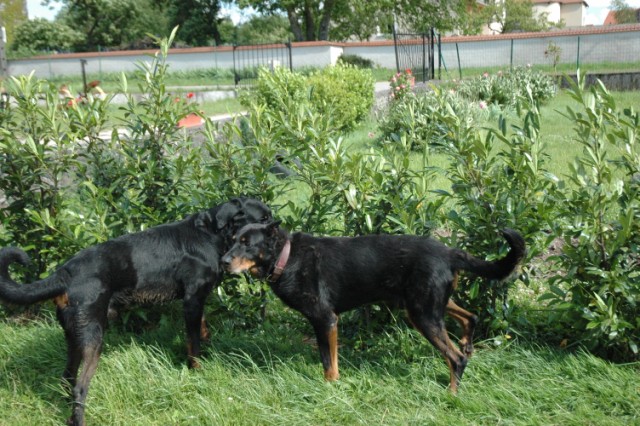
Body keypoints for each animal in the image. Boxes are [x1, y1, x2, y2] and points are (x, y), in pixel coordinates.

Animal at [0, 196, 272, 426]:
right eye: (263, 219)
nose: (277, 229)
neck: (211, 234)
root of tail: (64, 273)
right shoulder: (192, 299)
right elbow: (193, 344)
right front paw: (197, 371)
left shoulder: (195, 299)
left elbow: (201, 328)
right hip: (93, 336)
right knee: (80, 386)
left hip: (74, 337)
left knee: (68, 377)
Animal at [224, 223, 524, 392]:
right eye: (233, 240)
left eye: (247, 244)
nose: (224, 262)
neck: (286, 257)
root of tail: (450, 252)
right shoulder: (328, 322)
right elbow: (331, 362)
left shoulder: (325, 319)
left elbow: (328, 364)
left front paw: (330, 390)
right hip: (426, 304)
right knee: (470, 316)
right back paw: (467, 343)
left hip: (423, 314)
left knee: (456, 358)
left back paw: (451, 393)